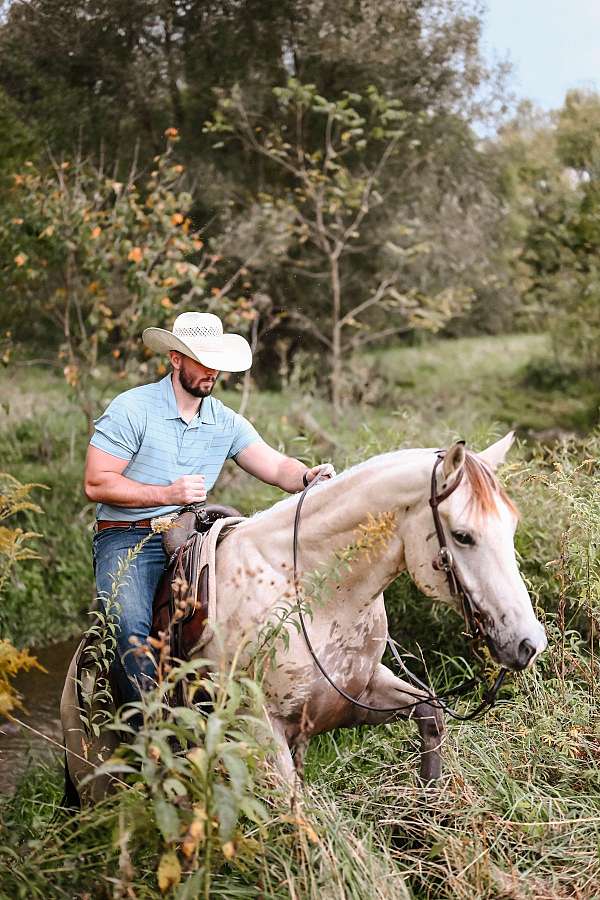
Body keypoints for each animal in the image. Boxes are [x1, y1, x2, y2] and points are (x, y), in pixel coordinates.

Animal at [62, 432, 548, 800]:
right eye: (463, 536)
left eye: (511, 526)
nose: (529, 642)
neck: (310, 590)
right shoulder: (261, 736)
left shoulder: (359, 693)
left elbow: (431, 716)